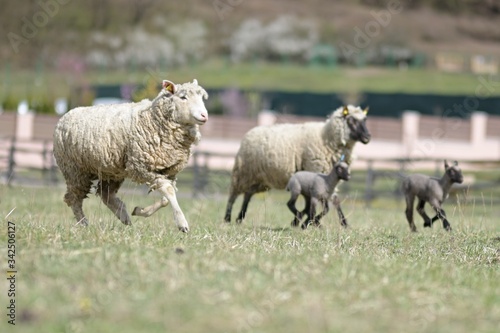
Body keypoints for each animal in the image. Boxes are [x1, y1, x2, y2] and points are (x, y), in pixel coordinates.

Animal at [54, 79, 209, 232]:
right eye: (183, 97)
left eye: (201, 97)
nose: (204, 116)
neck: (153, 119)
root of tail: (65, 116)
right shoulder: (141, 167)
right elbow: (168, 190)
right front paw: (182, 224)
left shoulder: (169, 171)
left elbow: (166, 198)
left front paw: (140, 211)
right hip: (74, 170)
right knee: (74, 198)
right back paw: (84, 224)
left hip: (110, 171)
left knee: (105, 194)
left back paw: (124, 216)